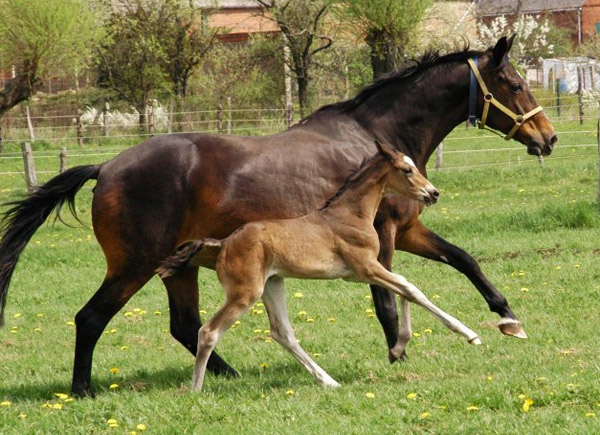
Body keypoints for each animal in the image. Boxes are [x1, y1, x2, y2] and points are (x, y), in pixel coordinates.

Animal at [157, 142, 480, 392]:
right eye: (406, 169)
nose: (433, 193)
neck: (351, 214)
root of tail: (224, 244)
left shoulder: (360, 274)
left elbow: (405, 287)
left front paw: (398, 348)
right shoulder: (366, 268)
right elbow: (411, 288)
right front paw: (469, 334)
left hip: (272, 285)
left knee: (282, 333)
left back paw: (328, 380)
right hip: (244, 293)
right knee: (209, 331)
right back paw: (196, 389)